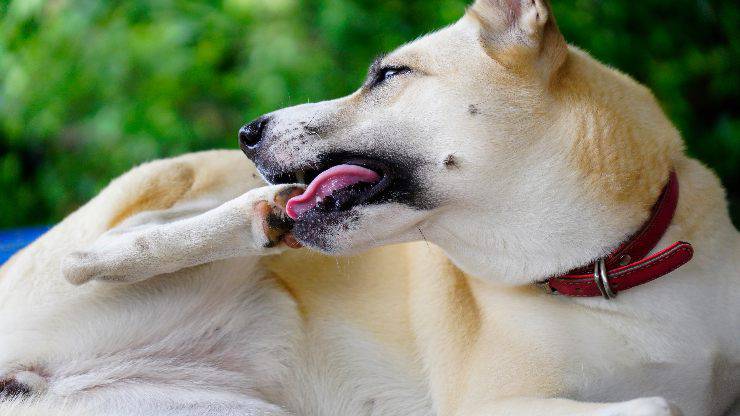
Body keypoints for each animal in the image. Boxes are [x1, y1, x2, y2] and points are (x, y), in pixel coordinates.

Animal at [1, 0, 740, 416]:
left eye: (387, 75)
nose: (247, 132)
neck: (615, 272)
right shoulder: (484, 406)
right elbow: (659, 404)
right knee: (119, 239)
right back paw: (134, 245)